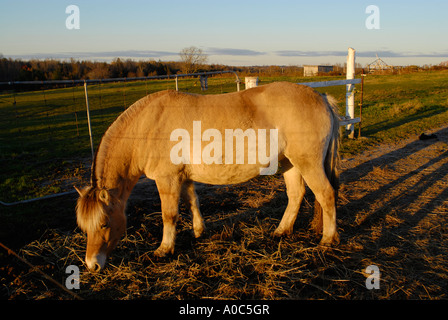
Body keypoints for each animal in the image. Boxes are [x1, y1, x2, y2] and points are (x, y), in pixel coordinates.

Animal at [74, 81, 340, 272]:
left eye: (104, 224)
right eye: (84, 227)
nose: (92, 265)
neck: (147, 127)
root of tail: (321, 98)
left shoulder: (167, 179)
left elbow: (169, 215)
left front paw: (164, 249)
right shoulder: (183, 177)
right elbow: (193, 201)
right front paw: (199, 231)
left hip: (307, 163)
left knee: (325, 195)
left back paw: (327, 240)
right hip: (289, 163)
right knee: (296, 195)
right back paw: (281, 231)